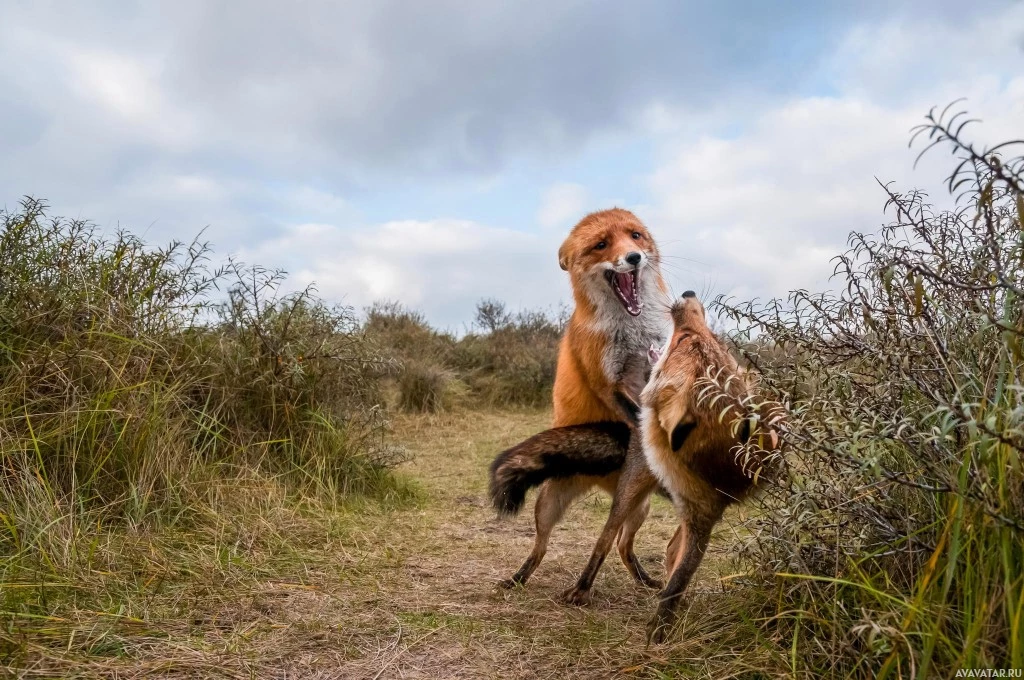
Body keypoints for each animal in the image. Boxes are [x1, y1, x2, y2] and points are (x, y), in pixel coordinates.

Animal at [493, 206, 671, 589]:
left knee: (621, 544)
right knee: (540, 548)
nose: (633, 258)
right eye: (601, 244)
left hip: (639, 508)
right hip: (547, 507)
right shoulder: (607, 381)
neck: (631, 330)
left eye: (635, 236)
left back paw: (644, 579)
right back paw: (519, 578)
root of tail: (598, 480)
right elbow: (633, 412)